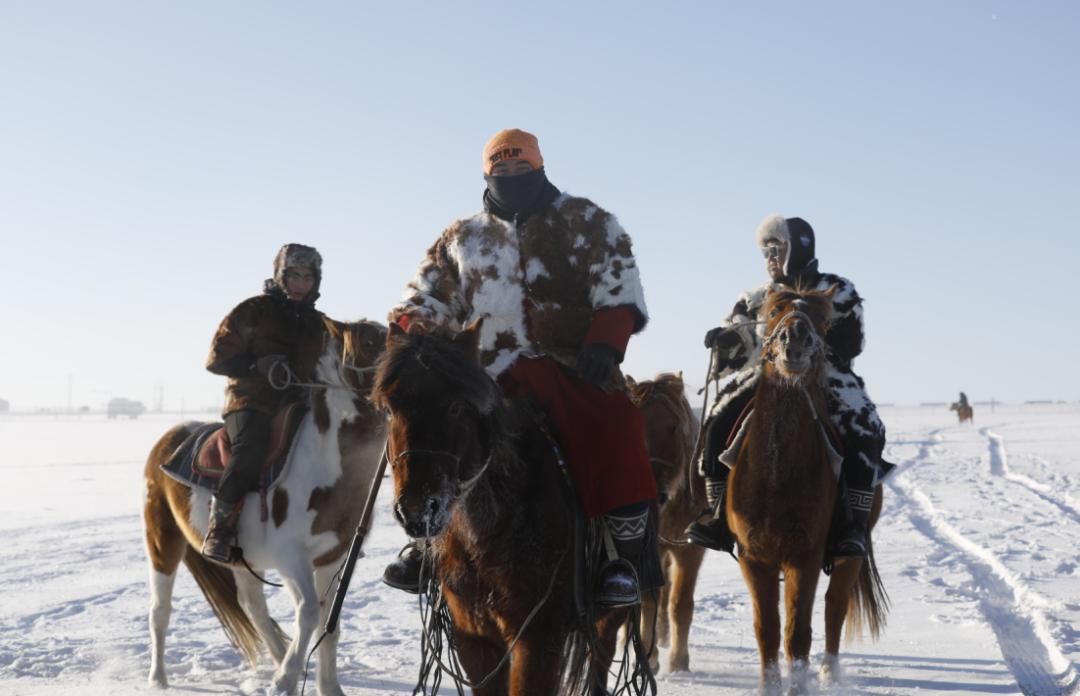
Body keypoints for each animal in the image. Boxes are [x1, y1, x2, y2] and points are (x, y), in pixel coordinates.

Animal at [142, 319, 388, 696]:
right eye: (372, 341)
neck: (324, 461)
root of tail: (168, 439)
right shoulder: (291, 557)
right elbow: (309, 613)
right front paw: (286, 680)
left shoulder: (332, 559)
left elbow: (327, 623)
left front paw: (327, 686)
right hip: (163, 542)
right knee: (160, 610)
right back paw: (158, 678)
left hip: (240, 559)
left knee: (252, 605)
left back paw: (277, 654)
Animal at [371, 322, 630, 696]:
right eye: (391, 410)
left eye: (457, 407)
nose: (417, 510)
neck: (491, 532)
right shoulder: (475, 639)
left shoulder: (538, 639)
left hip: (608, 616)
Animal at [626, 376, 708, 674]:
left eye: (673, 427)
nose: (653, 492)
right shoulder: (653, 549)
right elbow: (650, 598)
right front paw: (649, 658)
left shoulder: (690, 551)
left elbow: (679, 604)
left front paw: (678, 661)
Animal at [725, 285, 885, 691]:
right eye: (773, 311)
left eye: (822, 319)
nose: (795, 336)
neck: (778, 476)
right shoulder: (754, 556)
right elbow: (767, 628)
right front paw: (769, 686)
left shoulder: (805, 555)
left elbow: (797, 633)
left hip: (850, 552)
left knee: (835, 606)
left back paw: (829, 674)